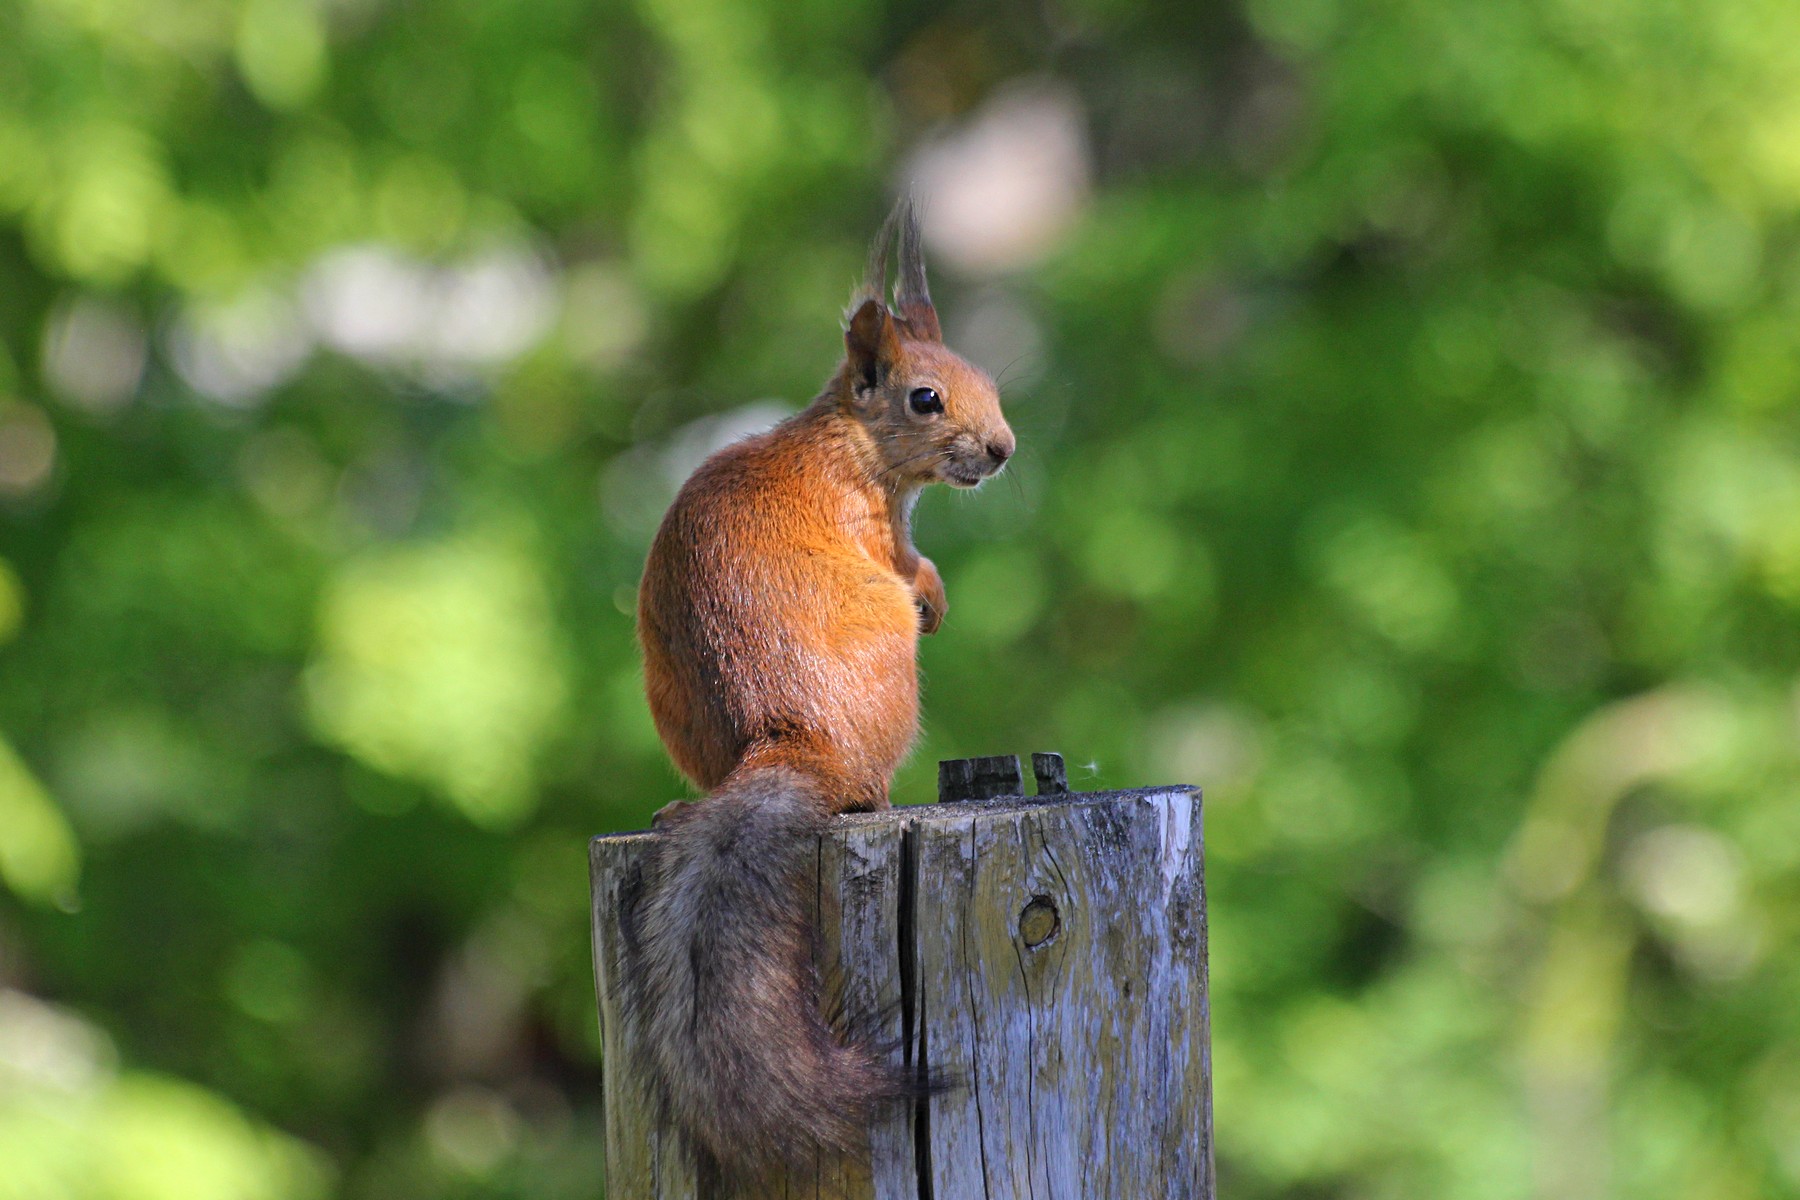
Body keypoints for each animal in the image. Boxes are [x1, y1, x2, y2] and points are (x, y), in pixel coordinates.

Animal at [619, 199, 1015, 1180]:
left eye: (986, 379)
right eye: (926, 397)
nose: (1001, 450)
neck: (851, 445)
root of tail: (800, 743)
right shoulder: (876, 534)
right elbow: (909, 564)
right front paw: (935, 595)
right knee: (865, 785)